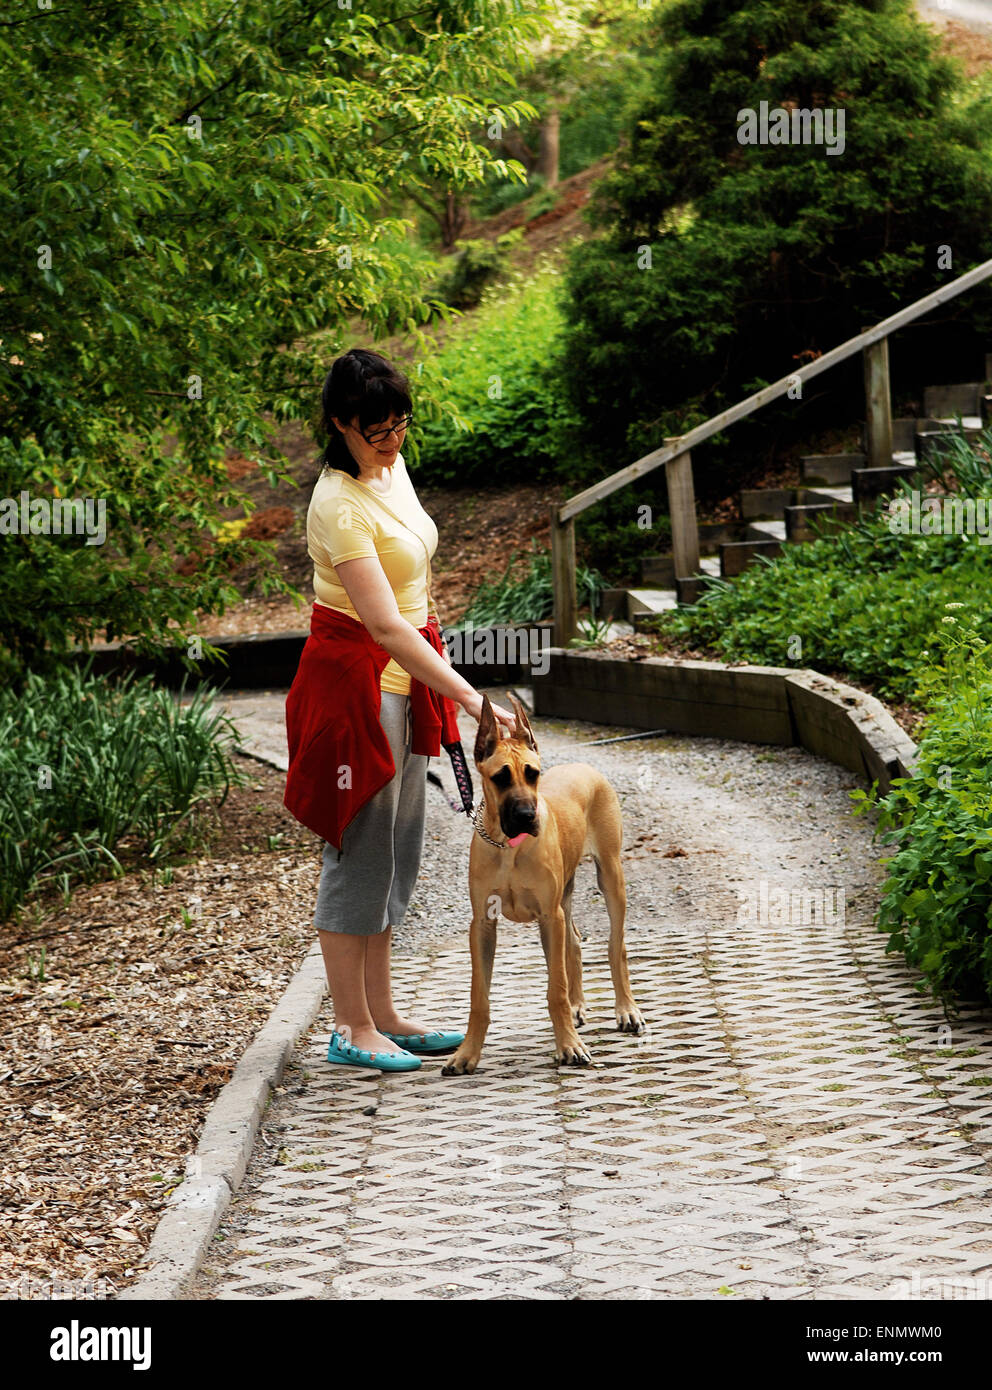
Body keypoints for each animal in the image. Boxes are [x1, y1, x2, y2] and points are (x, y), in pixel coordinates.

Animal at [441, 695, 641, 1073]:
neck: (507, 845)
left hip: (609, 876)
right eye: (500, 777)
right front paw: (466, 1053)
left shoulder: (549, 917)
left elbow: (555, 988)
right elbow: (479, 995)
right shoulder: (483, 924)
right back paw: (579, 1006)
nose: (526, 816)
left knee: (616, 946)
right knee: (574, 942)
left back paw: (627, 1010)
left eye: (533, 773)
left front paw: (569, 1047)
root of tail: (584, 766)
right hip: (565, 894)